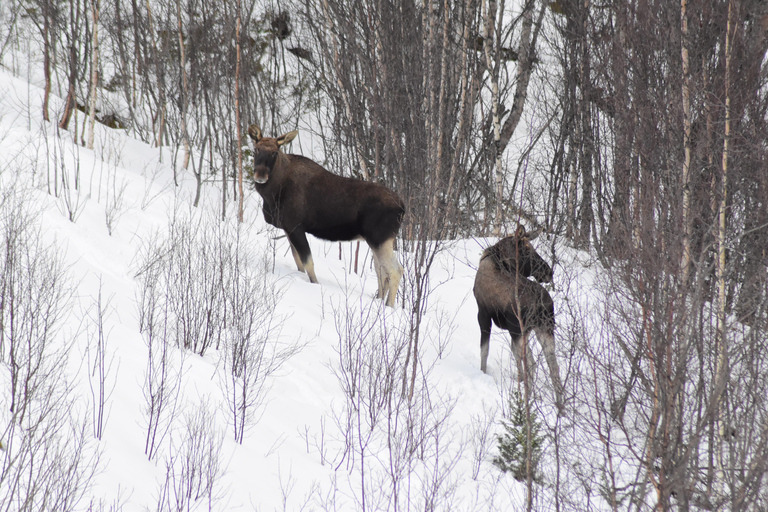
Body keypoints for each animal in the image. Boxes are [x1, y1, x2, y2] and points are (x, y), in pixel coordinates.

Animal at [248, 124, 404, 308]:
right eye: (256, 149)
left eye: (275, 152)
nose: (260, 176)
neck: (272, 193)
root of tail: (403, 207)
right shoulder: (287, 228)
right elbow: (298, 261)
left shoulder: (296, 226)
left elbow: (308, 263)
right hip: (377, 241)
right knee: (381, 271)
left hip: (380, 239)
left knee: (395, 270)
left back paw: (389, 305)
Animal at [474, 227, 564, 408]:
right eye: (527, 250)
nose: (548, 272)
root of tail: (542, 304)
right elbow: (514, 355)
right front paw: (520, 379)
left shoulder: (483, 313)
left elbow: (484, 350)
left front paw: (483, 372)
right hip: (545, 328)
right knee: (553, 365)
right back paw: (560, 405)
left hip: (520, 329)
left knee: (532, 363)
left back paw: (531, 398)